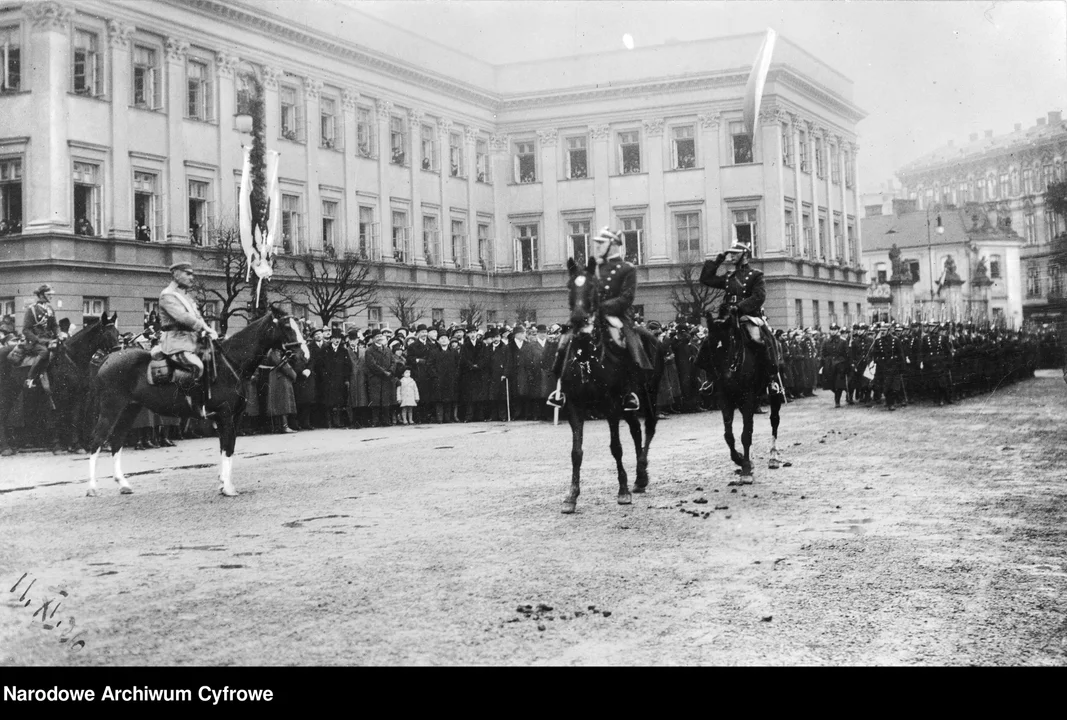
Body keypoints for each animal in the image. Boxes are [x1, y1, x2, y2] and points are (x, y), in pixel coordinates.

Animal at [0, 309, 120, 456]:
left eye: (117, 333)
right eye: (107, 333)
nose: (118, 351)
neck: (73, 358)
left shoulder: (78, 395)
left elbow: (74, 418)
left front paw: (76, 446)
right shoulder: (59, 395)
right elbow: (56, 418)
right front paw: (57, 446)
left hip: (12, 392)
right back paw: (6, 448)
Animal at [85, 307, 307, 499]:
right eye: (287, 327)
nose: (304, 355)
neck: (231, 363)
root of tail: (107, 358)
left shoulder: (232, 417)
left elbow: (226, 447)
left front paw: (224, 483)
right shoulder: (226, 414)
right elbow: (228, 447)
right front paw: (227, 488)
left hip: (129, 410)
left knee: (116, 441)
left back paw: (123, 484)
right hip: (111, 409)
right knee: (97, 440)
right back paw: (92, 487)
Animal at [563, 256, 661, 516]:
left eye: (593, 287)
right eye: (569, 286)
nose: (578, 319)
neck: (587, 357)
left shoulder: (611, 406)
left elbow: (615, 446)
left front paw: (623, 491)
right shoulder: (575, 406)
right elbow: (576, 452)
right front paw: (571, 496)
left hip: (648, 395)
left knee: (648, 428)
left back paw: (640, 473)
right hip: (629, 404)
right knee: (636, 431)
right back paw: (639, 478)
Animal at [699, 317, 785, 477]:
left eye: (730, 343)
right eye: (711, 346)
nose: (725, 378)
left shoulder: (747, 399)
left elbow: (746, 434)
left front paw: (745, 469)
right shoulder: (725, 400)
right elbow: (729, 435)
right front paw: (741, 459)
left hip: (774, 394)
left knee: (774, 421)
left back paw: (773, 457)